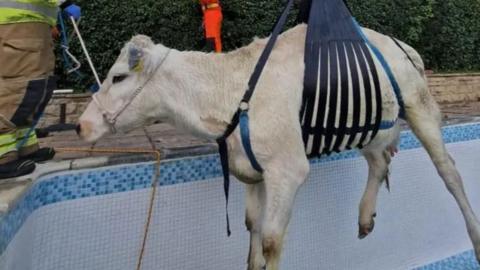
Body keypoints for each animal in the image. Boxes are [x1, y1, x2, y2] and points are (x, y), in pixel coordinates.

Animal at [77, 24, 478, 268]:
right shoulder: (251, 170)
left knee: (449, 173)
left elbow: (270, 240)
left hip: (420, 105)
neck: (227, 94)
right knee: (379, 161)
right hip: (368, 123)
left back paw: (474, 236)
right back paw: (365, 218)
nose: (81, 125)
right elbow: (251, 227)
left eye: (118, 77)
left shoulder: (288, 170)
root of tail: (399, 43)